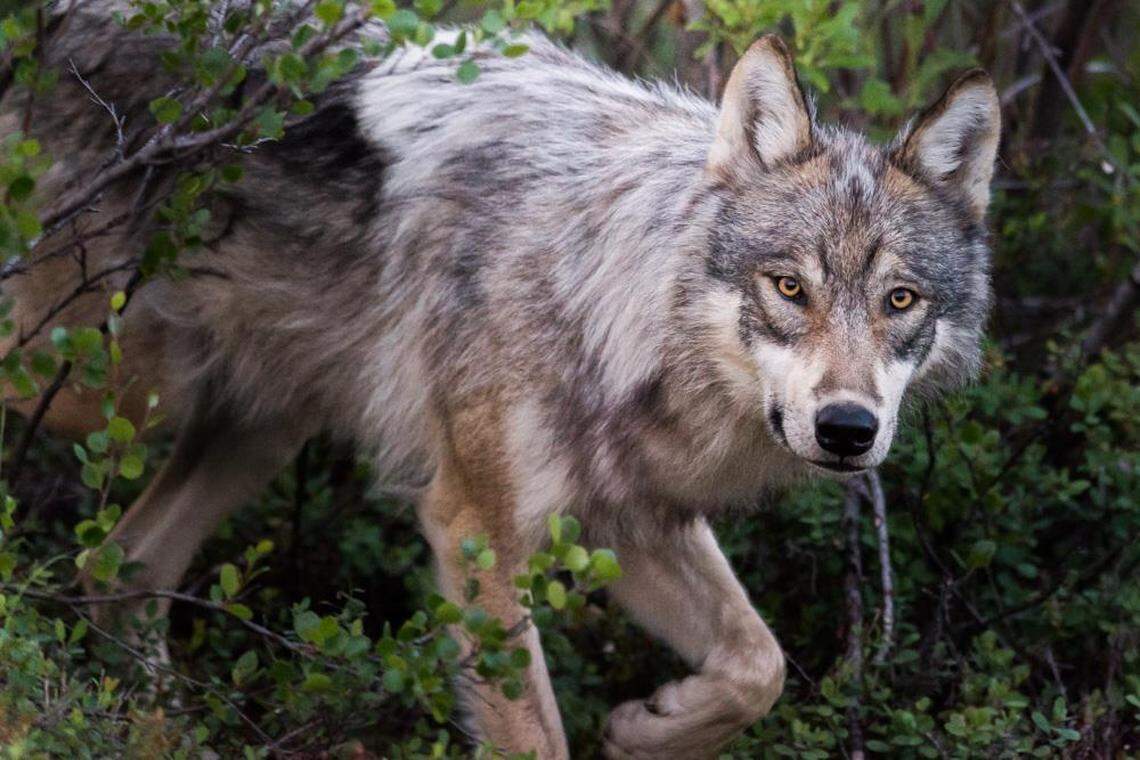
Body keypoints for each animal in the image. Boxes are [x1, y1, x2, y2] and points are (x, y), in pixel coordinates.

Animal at [1, 3, 1000, 757]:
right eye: (790, 287)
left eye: (901, 300)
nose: (846, 429)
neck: (601, 291)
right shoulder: (477, 526)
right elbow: (536, 735)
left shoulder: (631, 518)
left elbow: (762, 665)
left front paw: (648, 730)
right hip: (113, 390)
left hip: (258, 426)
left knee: (120, 563)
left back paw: (159, 729)